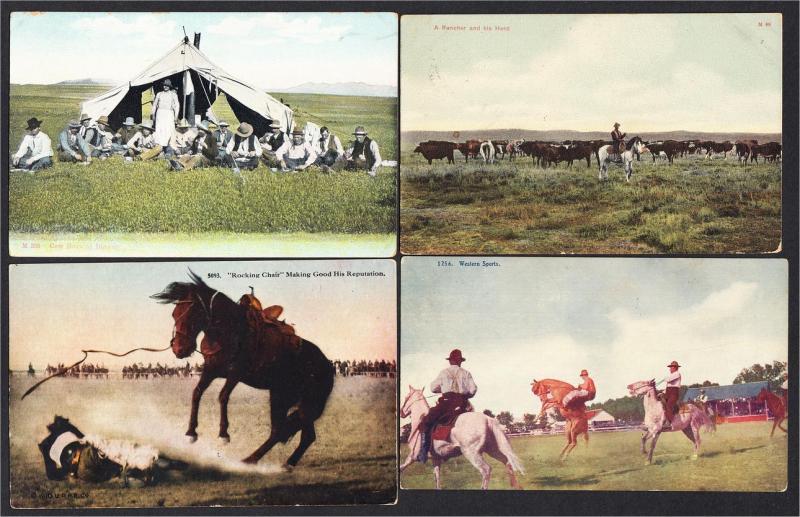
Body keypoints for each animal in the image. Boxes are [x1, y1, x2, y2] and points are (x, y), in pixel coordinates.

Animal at [151, 272, 334, 466]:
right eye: (174, 314)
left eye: (193, 313)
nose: (179, 350)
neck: (230, 331)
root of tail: (328, 366)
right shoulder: (211, 369)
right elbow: (197, 392)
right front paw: (191, 433)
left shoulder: (236, 372)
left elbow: (223, 396)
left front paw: (223, 435)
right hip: (282, 397)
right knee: (290, 433)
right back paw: (270, 462)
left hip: (306, 402)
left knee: (292, 433)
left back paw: (258, 461)